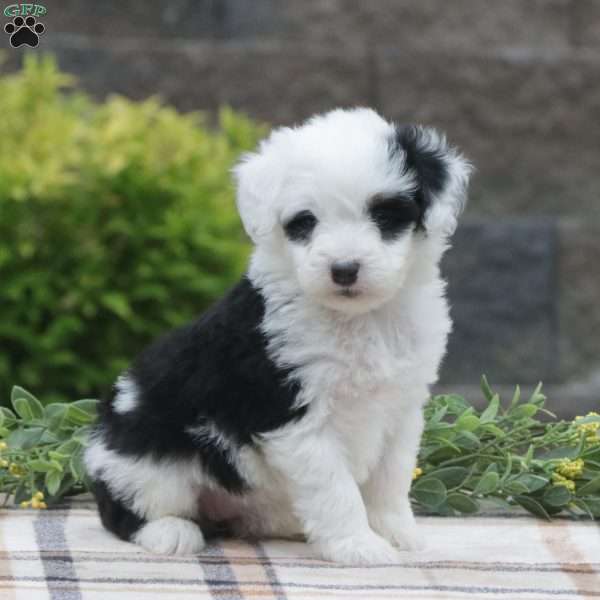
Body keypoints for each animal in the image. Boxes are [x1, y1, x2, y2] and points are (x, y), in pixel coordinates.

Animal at [84, 108, 472, 564]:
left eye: (384, 216)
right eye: (305, 222)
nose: (344, 269)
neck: (357, 319)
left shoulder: (401, 408)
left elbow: (389, 480)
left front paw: (397, 533)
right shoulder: (293, 415)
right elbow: (336, 490)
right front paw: (358, 546)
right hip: (149, 460)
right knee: (126, 509)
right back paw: (171, 532)